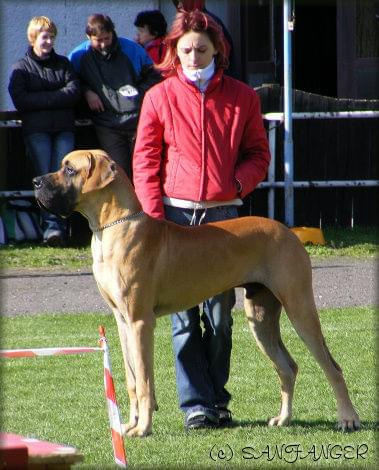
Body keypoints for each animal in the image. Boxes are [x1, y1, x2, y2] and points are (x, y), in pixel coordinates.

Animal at [33, 151, 362, 436]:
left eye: (69, 169)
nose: (35, 182)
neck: (115, 226)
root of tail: (288, 231)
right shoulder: (122, 321)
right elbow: (131, 379)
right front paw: (129, 424)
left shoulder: (140, 322)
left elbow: (145, 381)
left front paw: (143, 428)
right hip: (260, 317)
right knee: (287, 367)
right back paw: (283, 419)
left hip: (299, 307)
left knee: (332, 367)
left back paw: (348, 419)